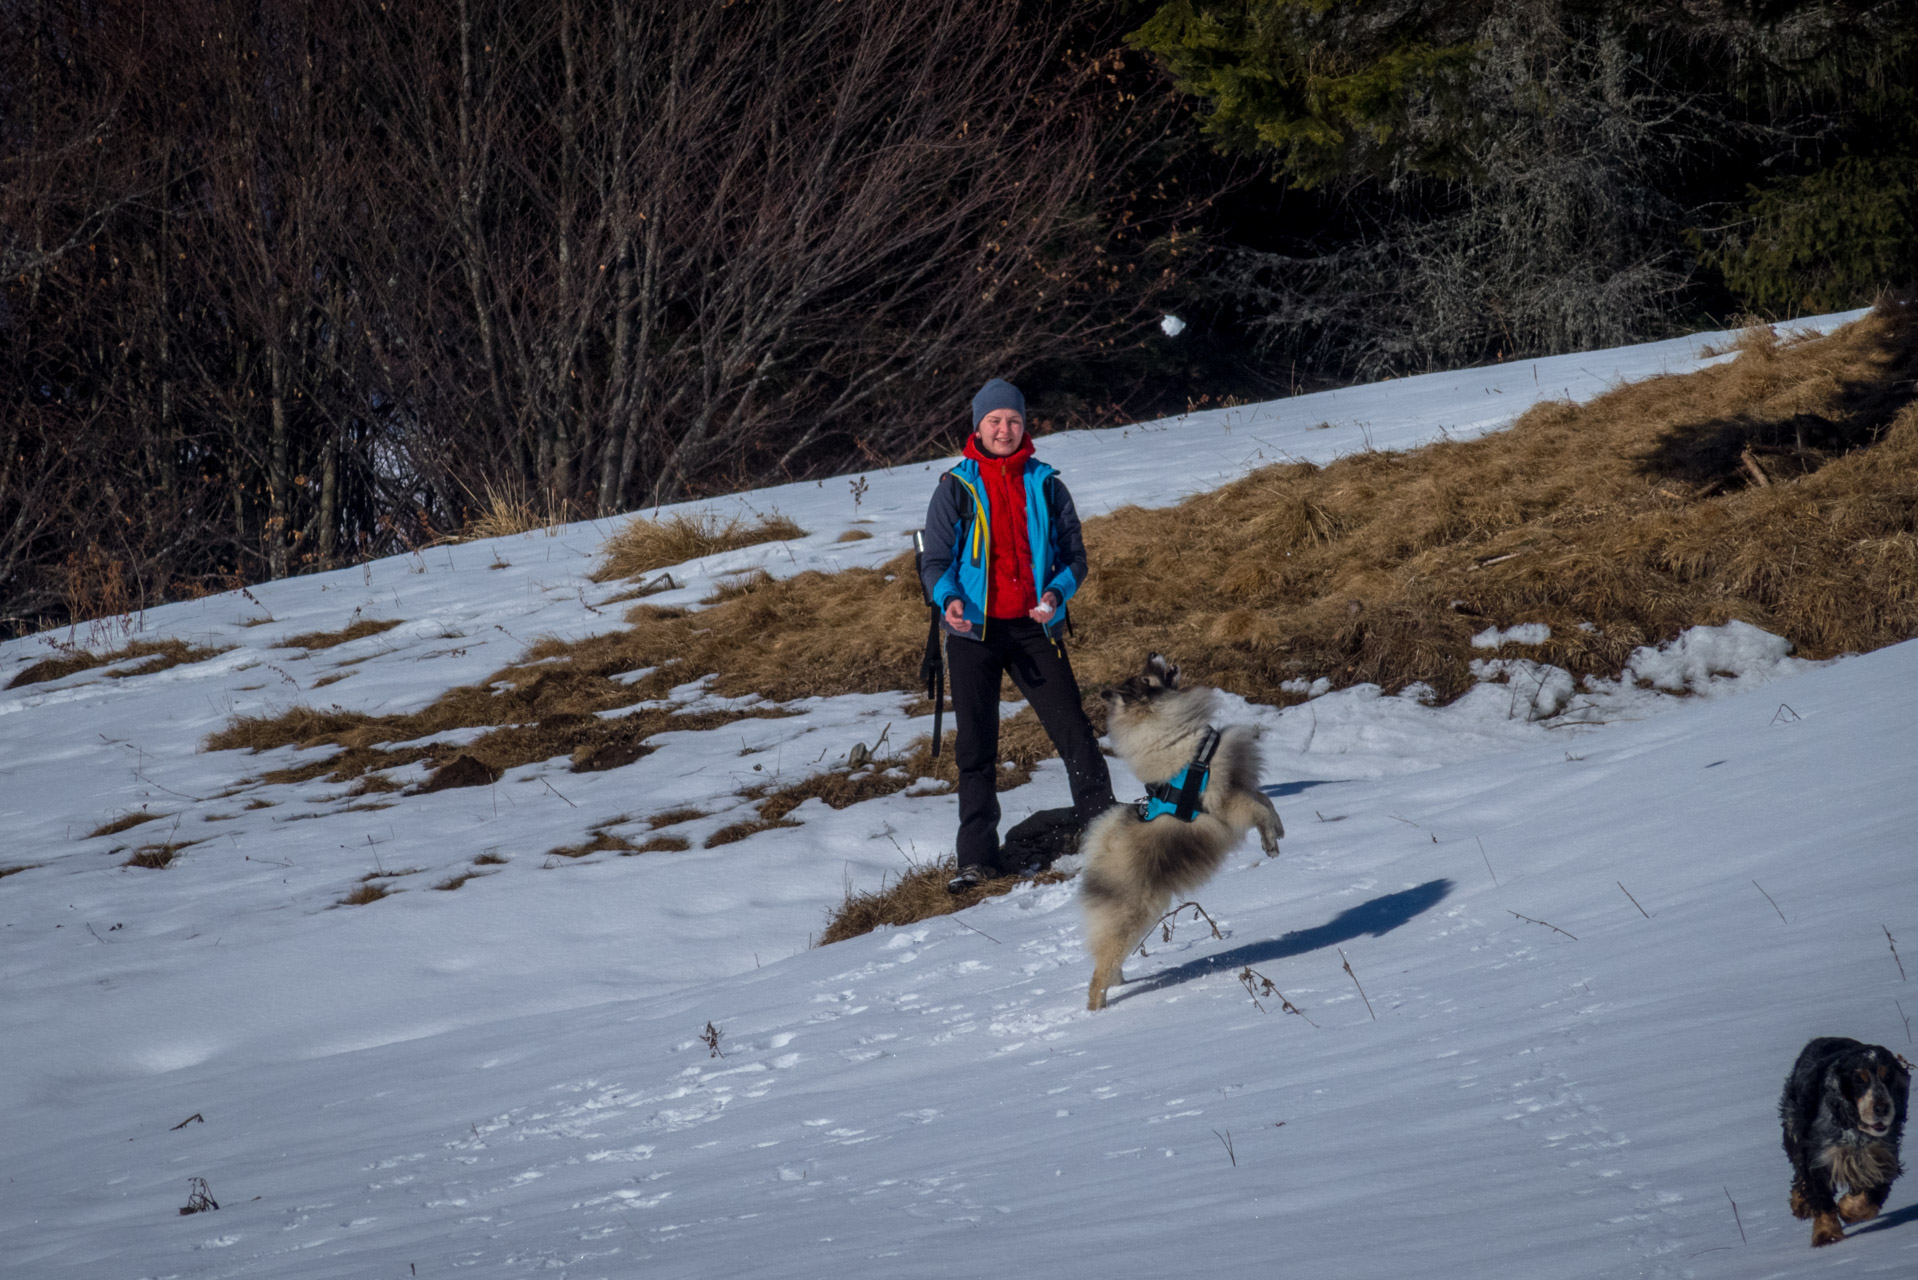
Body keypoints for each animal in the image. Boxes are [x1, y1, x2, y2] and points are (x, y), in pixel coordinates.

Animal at [1081, 660, 1288, 1013]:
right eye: (1147, 677)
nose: (1155, 653)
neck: (1180, 739)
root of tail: (1101, 853)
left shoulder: (1239, 787)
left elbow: (1266, 802)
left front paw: (1278, 830)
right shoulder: (1225, 802)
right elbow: (1258, 809)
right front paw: (1269, 841)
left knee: (1108, 965)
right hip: (1130, 920)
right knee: (1098, 973)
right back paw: (1098, 1011)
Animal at [1779, 1036, 1902, 1243]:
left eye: (1888, 1076)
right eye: (1859, 1080)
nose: (1882, 1108)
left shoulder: (1882, 1159)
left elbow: (1871, 1197)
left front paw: (1848, 1209)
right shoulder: (1818, 1158)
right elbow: (1821, 1198)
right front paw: (1827, 1236)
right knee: (1800, 1177)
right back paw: (1801, 1205)